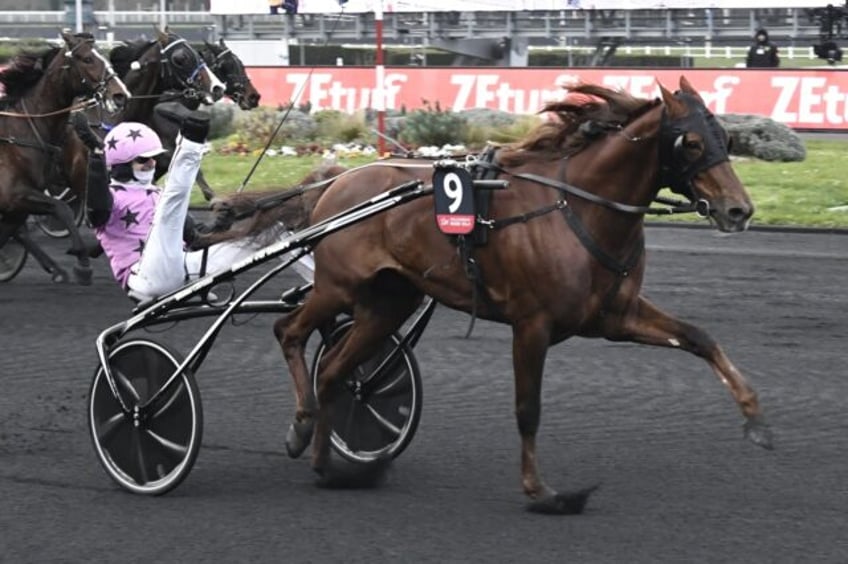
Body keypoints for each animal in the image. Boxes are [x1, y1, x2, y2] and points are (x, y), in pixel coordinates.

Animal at [272, 77, 776, 512]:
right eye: (690, 143)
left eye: (726, 139)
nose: (739, 210)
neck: (579, 208)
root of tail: (338, 180)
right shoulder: (532, 324)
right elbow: (527, 409)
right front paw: (542, 491)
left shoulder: (617, 317)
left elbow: (699, 338)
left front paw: (757, 421)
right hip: (339, 286)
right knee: (289, 331)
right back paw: (300, 427)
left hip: (390, 302)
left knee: (334, 372)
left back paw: (326, 465)